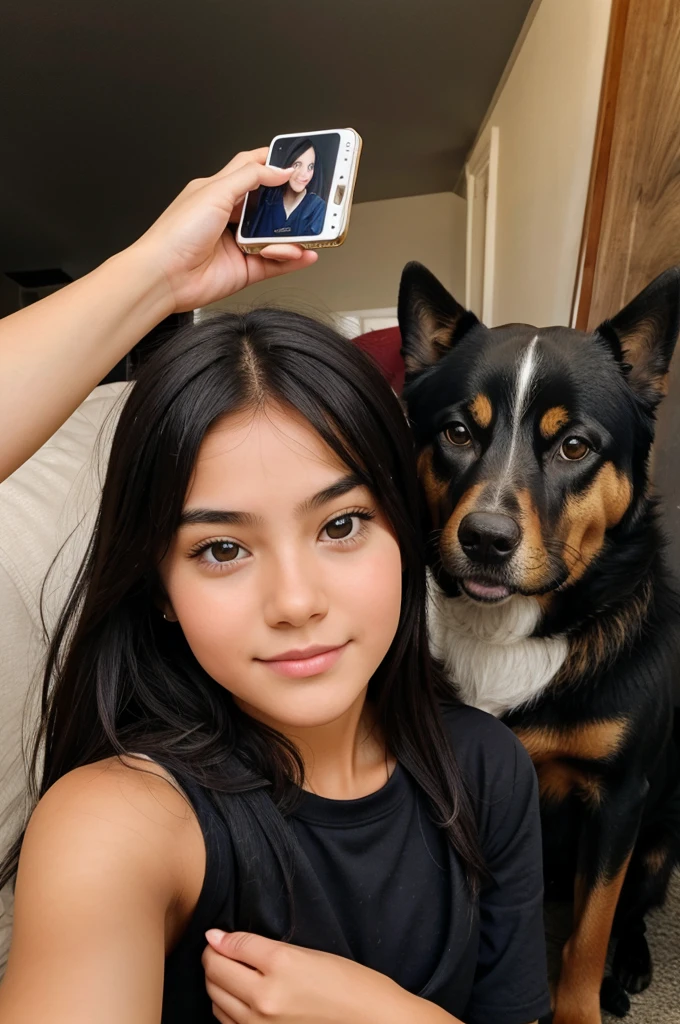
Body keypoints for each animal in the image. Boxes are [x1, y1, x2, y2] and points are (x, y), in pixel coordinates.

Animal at [399, 262, 680, 1024]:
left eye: (574, 446)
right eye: (458, 432)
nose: (485, 539)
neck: (516, 629)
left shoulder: (620, 801)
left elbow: (590, 931)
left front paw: (577, 1005)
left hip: (661, 840)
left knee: (631, 911)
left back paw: (629, 969)